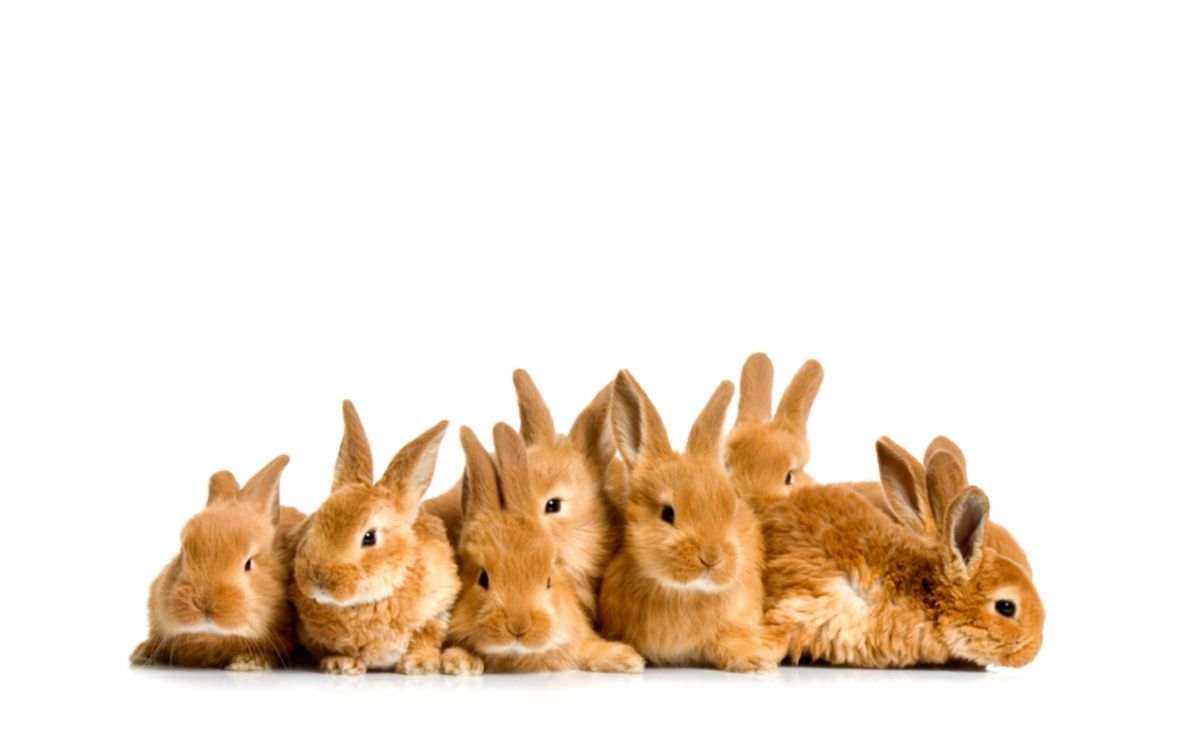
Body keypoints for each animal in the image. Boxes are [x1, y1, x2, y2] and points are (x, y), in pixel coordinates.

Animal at [290, 400, 462, 675]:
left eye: (369, 537)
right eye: (315, 522)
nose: (319, 581)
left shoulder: (437, 610)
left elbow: (426, 637)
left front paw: (419, 665)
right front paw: (341, 664)